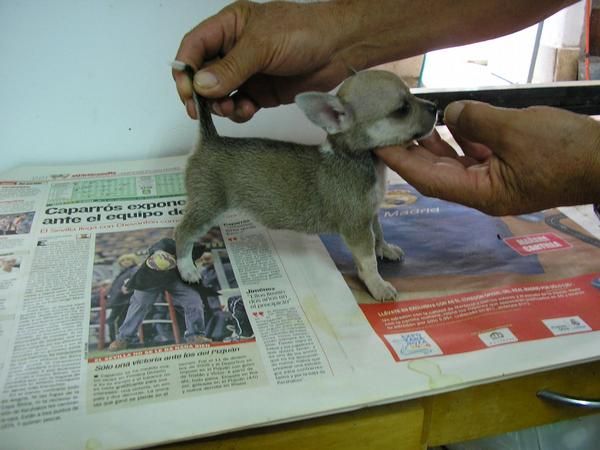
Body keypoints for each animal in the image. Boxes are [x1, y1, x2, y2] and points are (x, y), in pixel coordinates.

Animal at [173, 63, 436, 300]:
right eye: (403, 109)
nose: (435, 107)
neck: (363, 160)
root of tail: (210, 139)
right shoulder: (356, 227)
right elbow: (368, 260)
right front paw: (378, 285)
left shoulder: (370, 214)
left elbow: (379, 232)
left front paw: (385, 249)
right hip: (208, 206)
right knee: (182, 233)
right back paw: (186, 269)